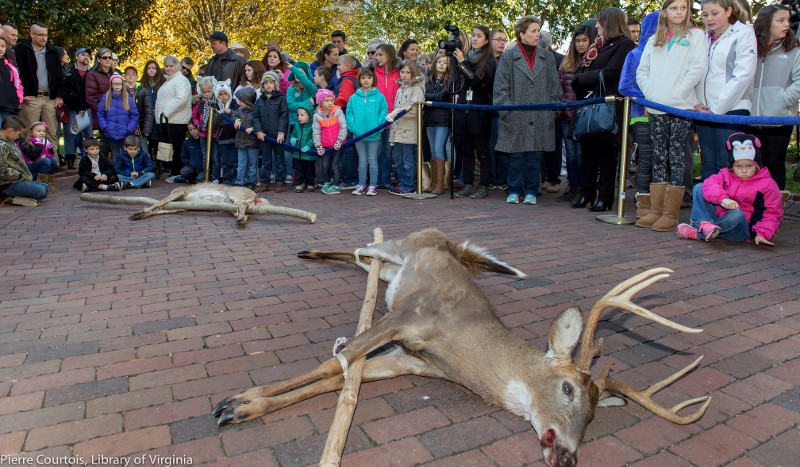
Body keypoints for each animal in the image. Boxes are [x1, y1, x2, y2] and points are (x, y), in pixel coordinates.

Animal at [213, 228, 711, 467]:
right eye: (568, 388)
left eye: (593, 416)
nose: (570, 456)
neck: (460, 346)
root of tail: (450, 242)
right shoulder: (404, 318)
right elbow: (330, 363)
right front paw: (234, 401)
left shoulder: (410, 360)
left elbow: (338, 376)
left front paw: (243, 408)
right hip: (401, 247)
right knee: (367, 246)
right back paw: (314, 251)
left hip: (395, 271)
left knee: (363, 260)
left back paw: (316, 255)